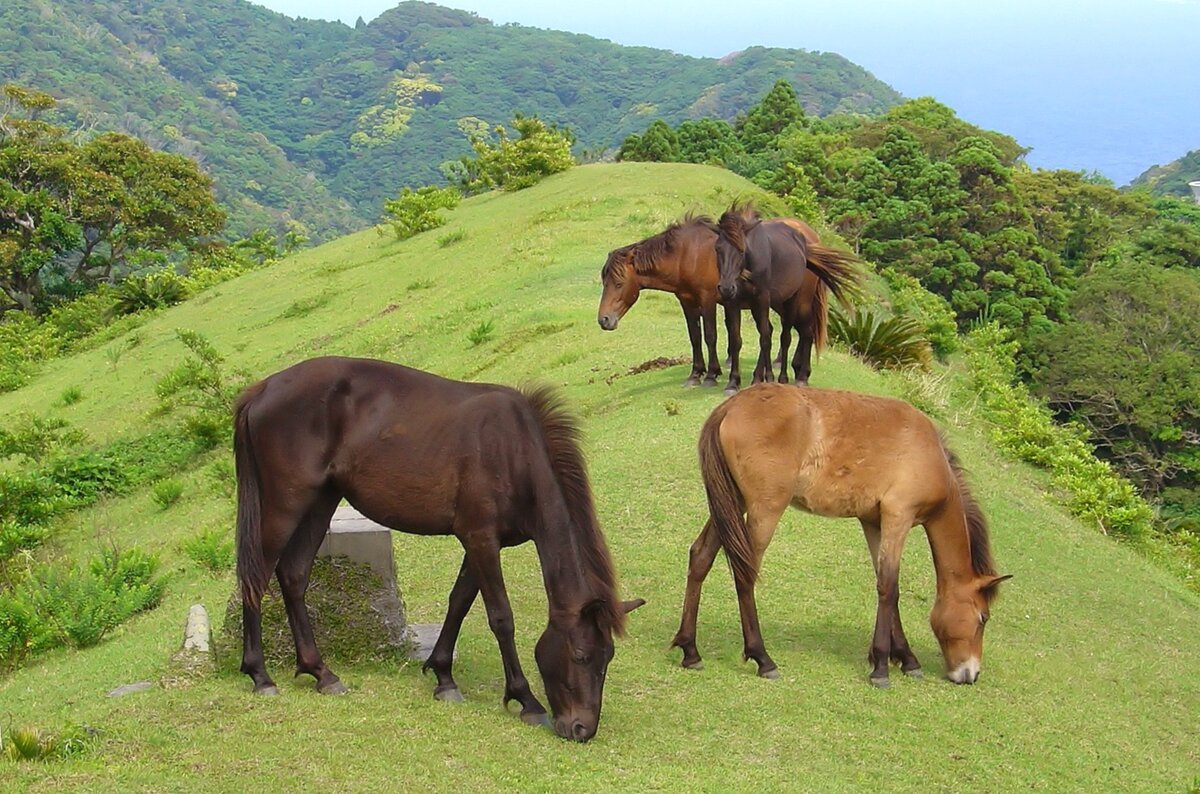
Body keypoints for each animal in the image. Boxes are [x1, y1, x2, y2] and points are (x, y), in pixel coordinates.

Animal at [235, 357, 648, 743]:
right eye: (580, 655)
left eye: (608, 657)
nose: (582, 729)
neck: (514, 451)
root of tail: (262, 389)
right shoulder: (480, 539)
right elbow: (501, 617)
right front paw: (525, 699)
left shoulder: (480, 542)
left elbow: (459, 602)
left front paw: (443, 675)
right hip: (285, 504)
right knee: (256, 577)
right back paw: (260, 675)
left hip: (322, 500)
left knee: (293, 575)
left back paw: (320, 671)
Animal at [672, 386, 1008, 690]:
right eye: (983, 618)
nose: (970, 674)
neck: (929, 454)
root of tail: (730, 406)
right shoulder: (898, 517)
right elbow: (889, 589)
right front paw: (882, 666)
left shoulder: (874, 523)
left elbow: (887, 586)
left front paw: (905, 658)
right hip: (764, 509)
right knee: (745, 574)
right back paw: (763, 658)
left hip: (731, 502)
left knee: (700, 556)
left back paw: (690, 650)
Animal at [710, 203, 864, 386]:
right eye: (718, 249)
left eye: (741, 251)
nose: (726, 287)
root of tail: (806, 244)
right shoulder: (733, 302)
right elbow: (736, 340)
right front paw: (734, 381)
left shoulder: (761, 300)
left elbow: (765, 338)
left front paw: (766, 377)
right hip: (780, 304)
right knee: (794, 332)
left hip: (798, 302)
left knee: (798, 334)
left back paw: (796, 376)